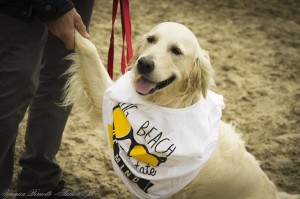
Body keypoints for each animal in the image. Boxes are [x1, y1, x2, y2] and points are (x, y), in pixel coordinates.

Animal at [62, 22, 298, 199]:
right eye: (151, 39)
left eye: (176, 51)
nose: (143, 64)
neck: (168, 105)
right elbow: (89, 48)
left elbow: (89, 49)